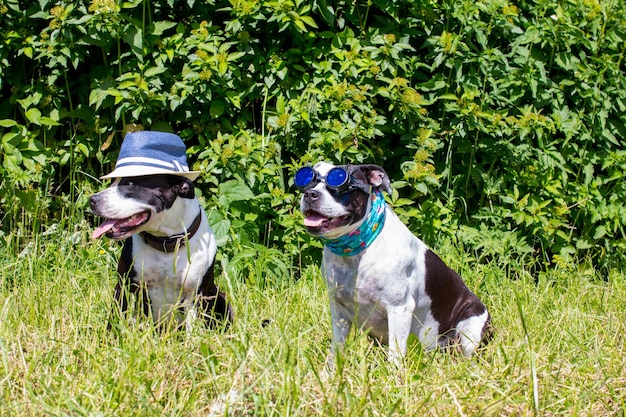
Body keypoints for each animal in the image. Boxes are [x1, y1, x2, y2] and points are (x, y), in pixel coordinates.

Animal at [89, 132, 233, 330]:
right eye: (111, 183)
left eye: (130, 183)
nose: (92, 199)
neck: (165, 241)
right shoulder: (124, 285)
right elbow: (116, 318)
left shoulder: (196, 295)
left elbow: (193, 330)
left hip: (220, 297)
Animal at [294, 162, 490, 364]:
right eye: (308, 182)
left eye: (338, 183)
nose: (310, 194)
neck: (358, 249)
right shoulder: (338, 309)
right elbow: (337, 350)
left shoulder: (399, 309)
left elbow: (395, 354)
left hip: (470, 326)